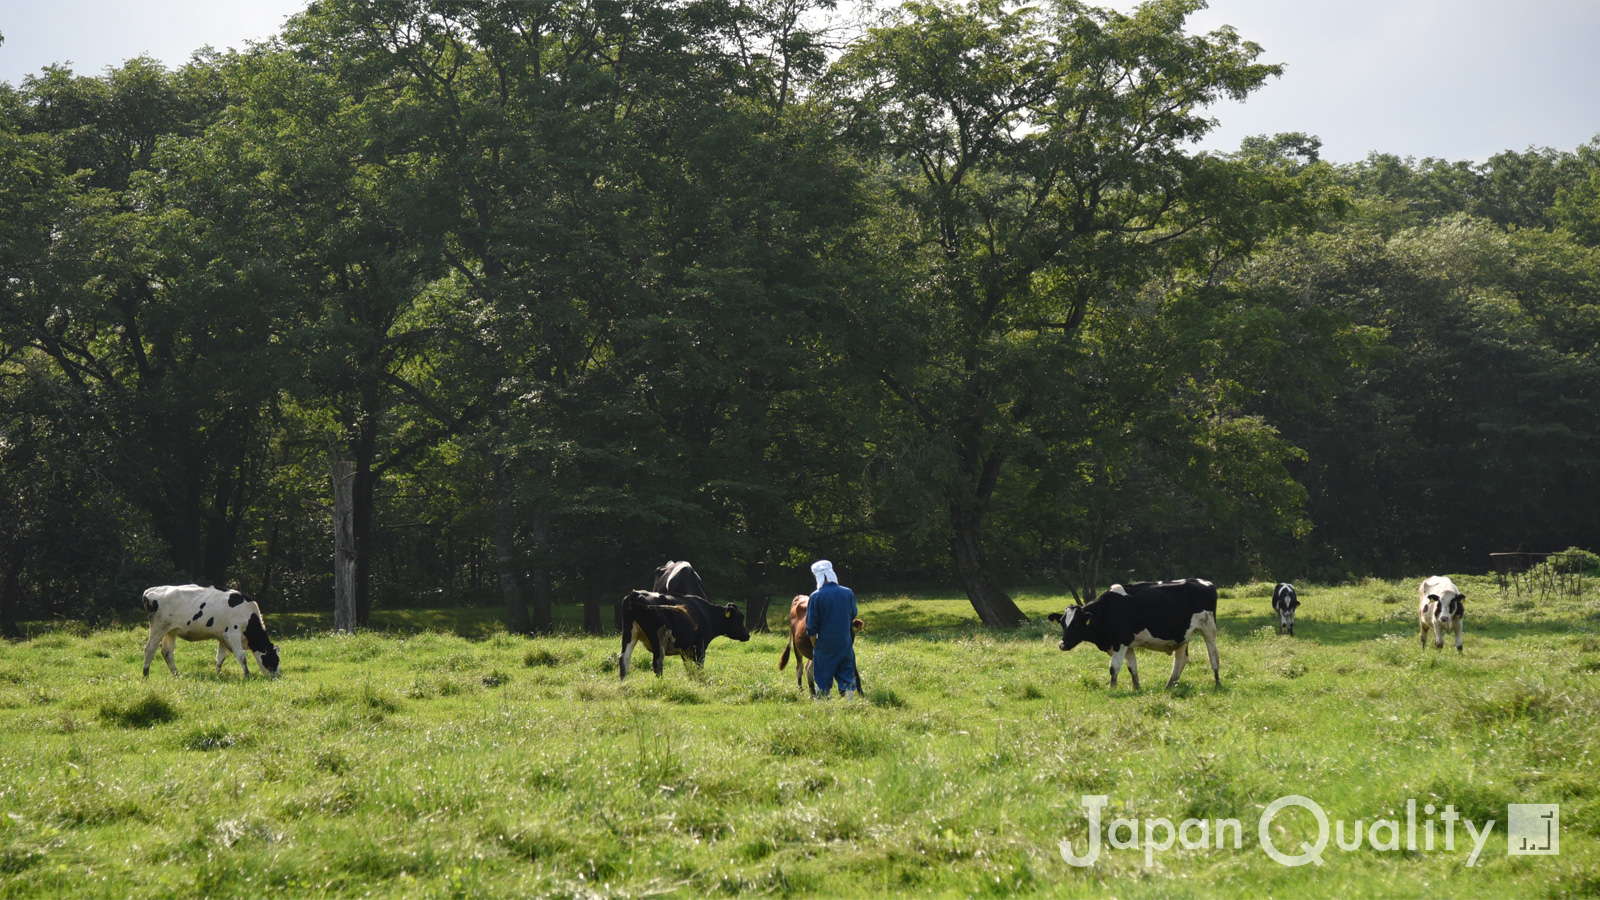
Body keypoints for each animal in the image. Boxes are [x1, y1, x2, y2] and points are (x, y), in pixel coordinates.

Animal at [140, 586, 281, 675]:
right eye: (274, 660)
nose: (276, 677)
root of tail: (150, 591)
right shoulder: (232, 634)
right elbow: (242, 657)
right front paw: (247, 674)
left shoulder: (223, 637)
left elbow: (221, 657)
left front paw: (218, 673)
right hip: (158, 628)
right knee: (149, 649)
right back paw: (145, 675)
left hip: (170, 631)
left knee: (167, 652)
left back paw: (176, 674)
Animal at [620, 586, 752, 675]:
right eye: (740, 618)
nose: (747, 635)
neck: (707, 614)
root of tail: (634, 594)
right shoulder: (700, 646)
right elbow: (699, 666)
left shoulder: (685, 649)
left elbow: (689, 668)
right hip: (659, 638)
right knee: (658, 663)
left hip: (628, 634)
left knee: (624, 659)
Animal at [1043, 573, 1216, 685]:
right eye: (1063, 623)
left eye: (1077, 624)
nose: (1062, 644)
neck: (1107, 610)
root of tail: (1205, 582)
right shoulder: (1127, 645)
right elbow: (1132, 668)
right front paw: (1136, 688)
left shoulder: (1121, 642)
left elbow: (1114, 668)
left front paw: (1111, 689)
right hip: (1183, 637)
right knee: (1180, 660)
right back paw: (1169, 686)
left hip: (1209, 628)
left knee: (1213, 655)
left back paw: (1217, 683)